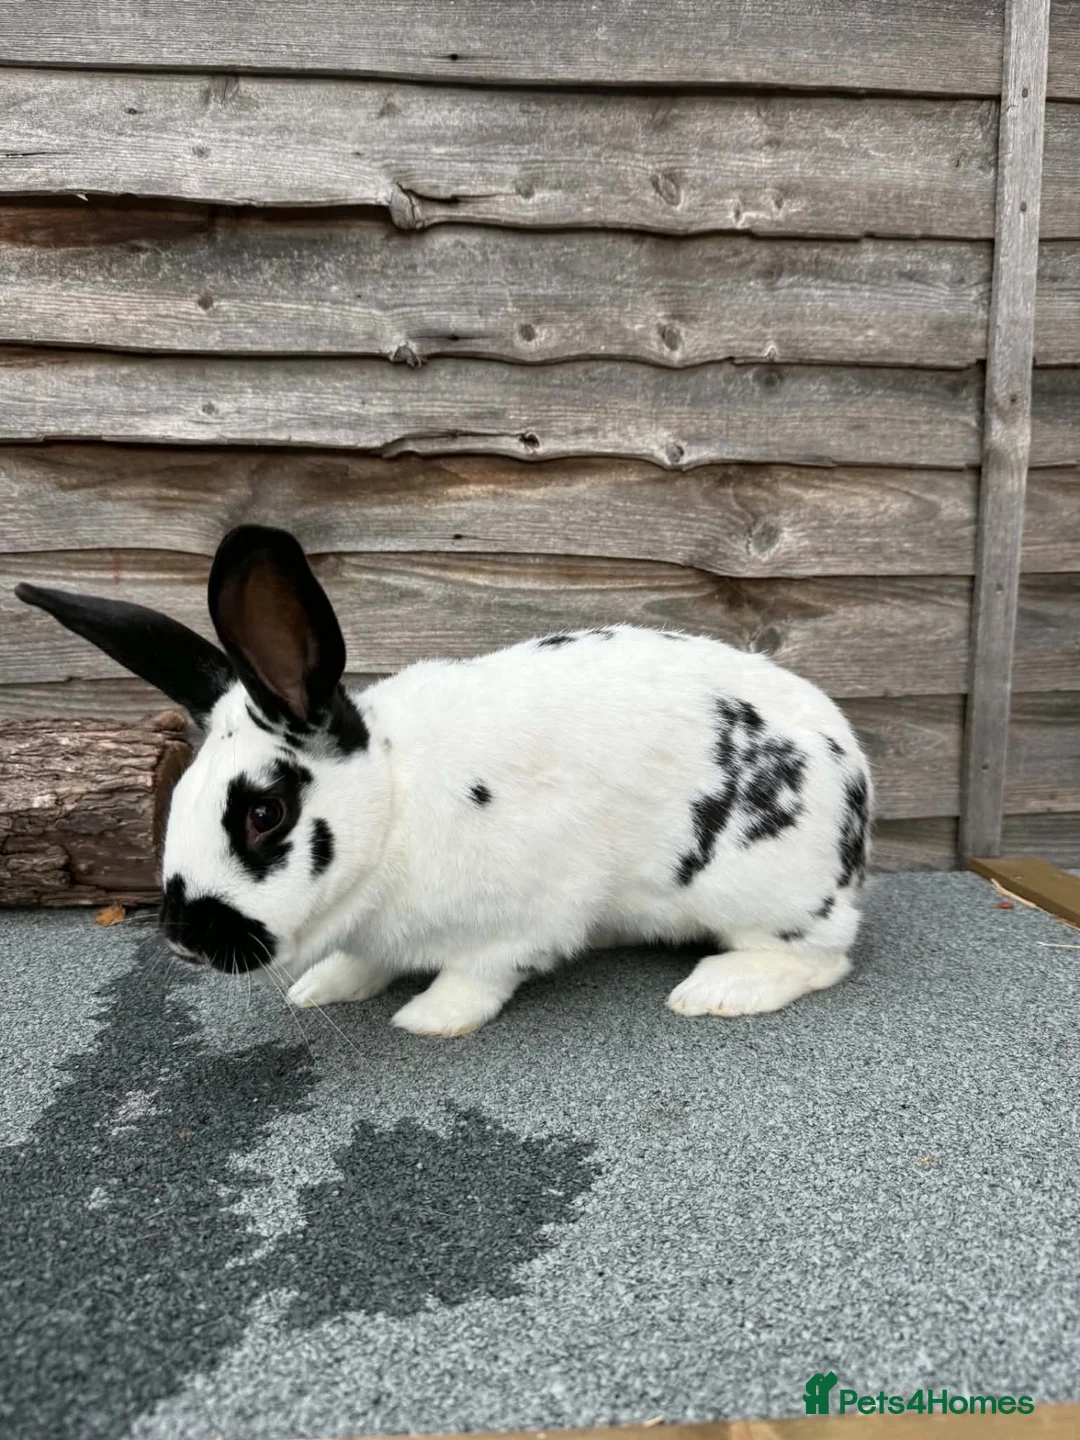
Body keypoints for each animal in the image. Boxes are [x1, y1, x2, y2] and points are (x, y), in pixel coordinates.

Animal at [16, 525, 872, 1037]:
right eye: (183, 796)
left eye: (265, 814)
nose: (185, 940)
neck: (394, 806)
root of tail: (855, 786)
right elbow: (362, 964)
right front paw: (321, 988)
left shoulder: (528, 915)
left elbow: (480, 973)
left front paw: (427, 1018)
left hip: (759, 892)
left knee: (825, 958)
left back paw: (717, 989)